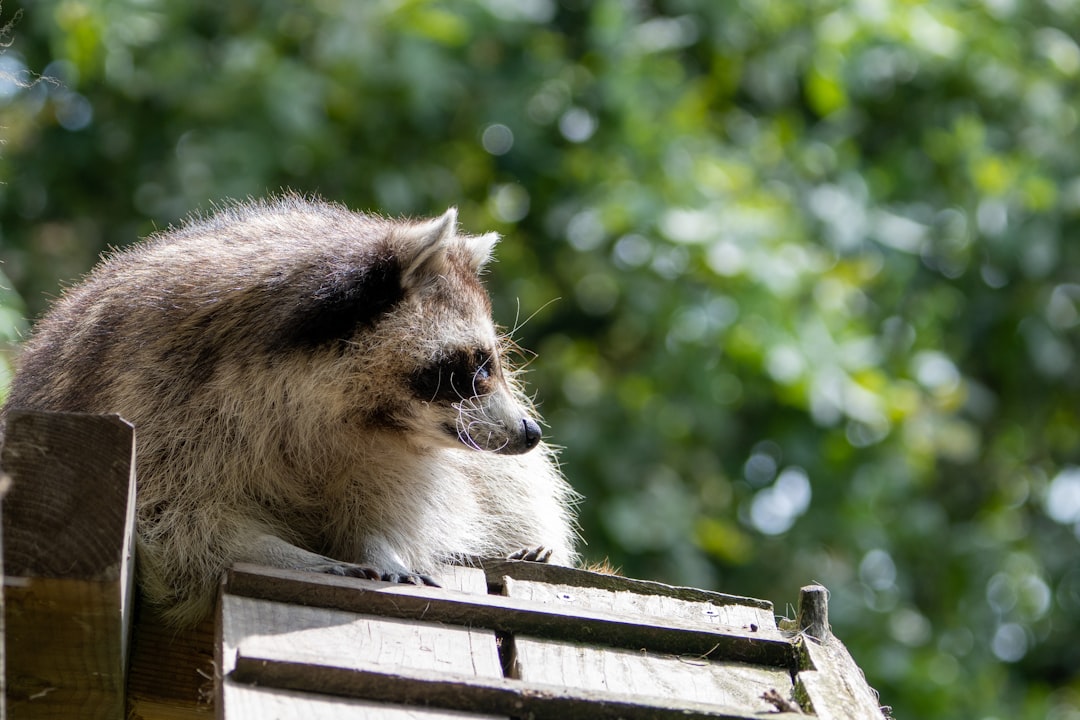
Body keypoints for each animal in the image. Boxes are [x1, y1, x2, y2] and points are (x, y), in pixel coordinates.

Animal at [1, 195, 579, 626]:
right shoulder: (156, 402)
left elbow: (381, 504)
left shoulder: (387, 450)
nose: (531, 431)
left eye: (494, 362)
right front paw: (284, 554)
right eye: (475, 369)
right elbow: (180, 529)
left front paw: (379, 548)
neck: (344, 409)